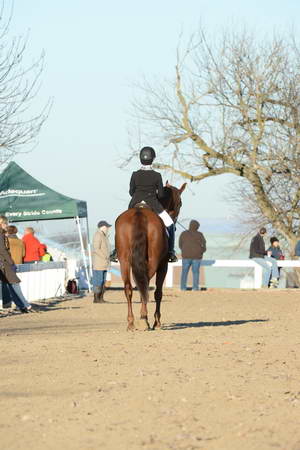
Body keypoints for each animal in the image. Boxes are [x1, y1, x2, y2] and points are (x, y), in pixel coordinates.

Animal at [115, 182, 185, 330]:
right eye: (180, 203)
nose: (175, 225)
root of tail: (140, 213)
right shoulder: (163, 265)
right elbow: (158, 292)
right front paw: (156, 321)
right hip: (154, 261)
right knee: (146, 283)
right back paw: (144, 319)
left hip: (124, 261)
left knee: (130, 287)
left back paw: (131, 322)